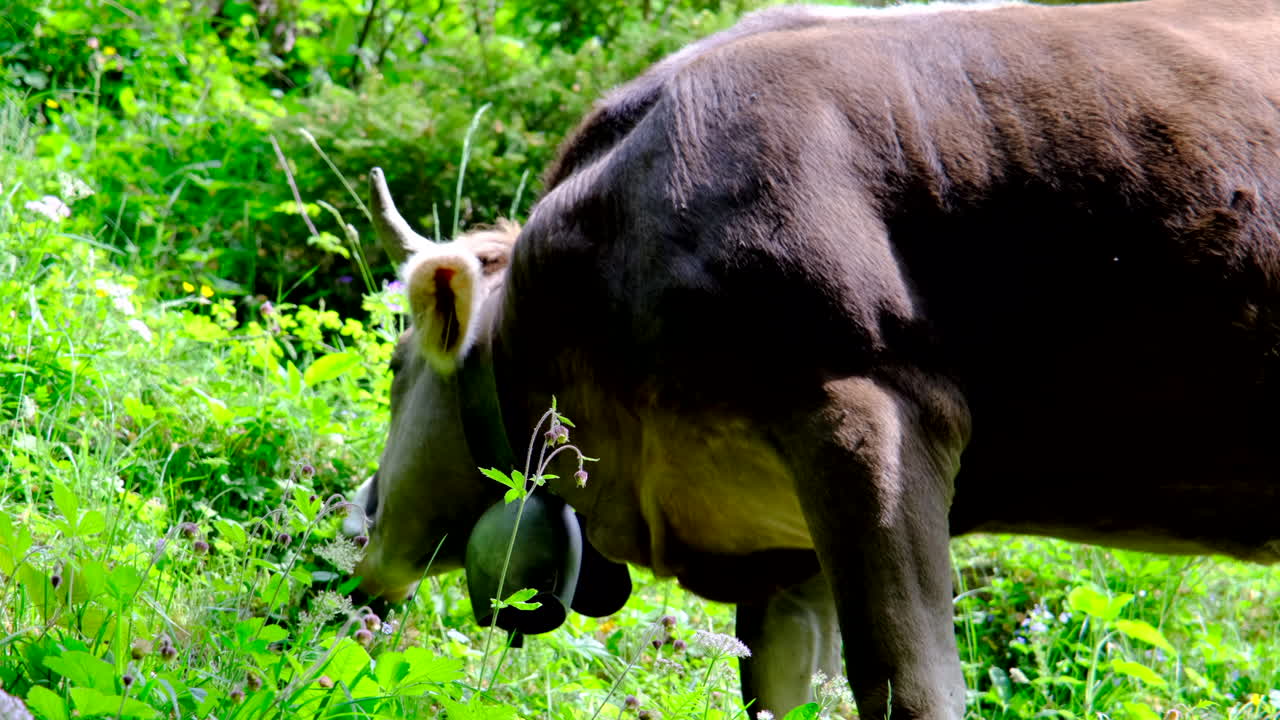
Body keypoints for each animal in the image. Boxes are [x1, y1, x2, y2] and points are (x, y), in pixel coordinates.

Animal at [347, 0, 1280, 717]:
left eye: (395, 367)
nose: (357, 518)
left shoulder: (868, 420)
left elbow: (909, 689)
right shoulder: (777, 543)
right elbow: (781, 688)